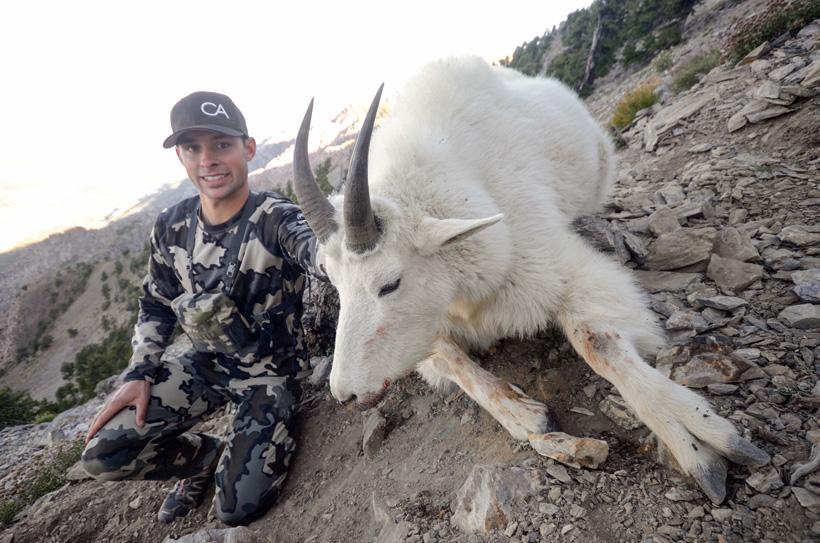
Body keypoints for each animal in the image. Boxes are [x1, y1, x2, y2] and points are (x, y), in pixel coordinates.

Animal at [292, 56, 768, 504]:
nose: (346, 395)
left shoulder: (559, 268)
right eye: (335, 283)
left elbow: (599, 342)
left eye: (390, 283)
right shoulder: (430, 328)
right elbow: (453, 359)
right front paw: (525, 416)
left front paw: (697, 438)